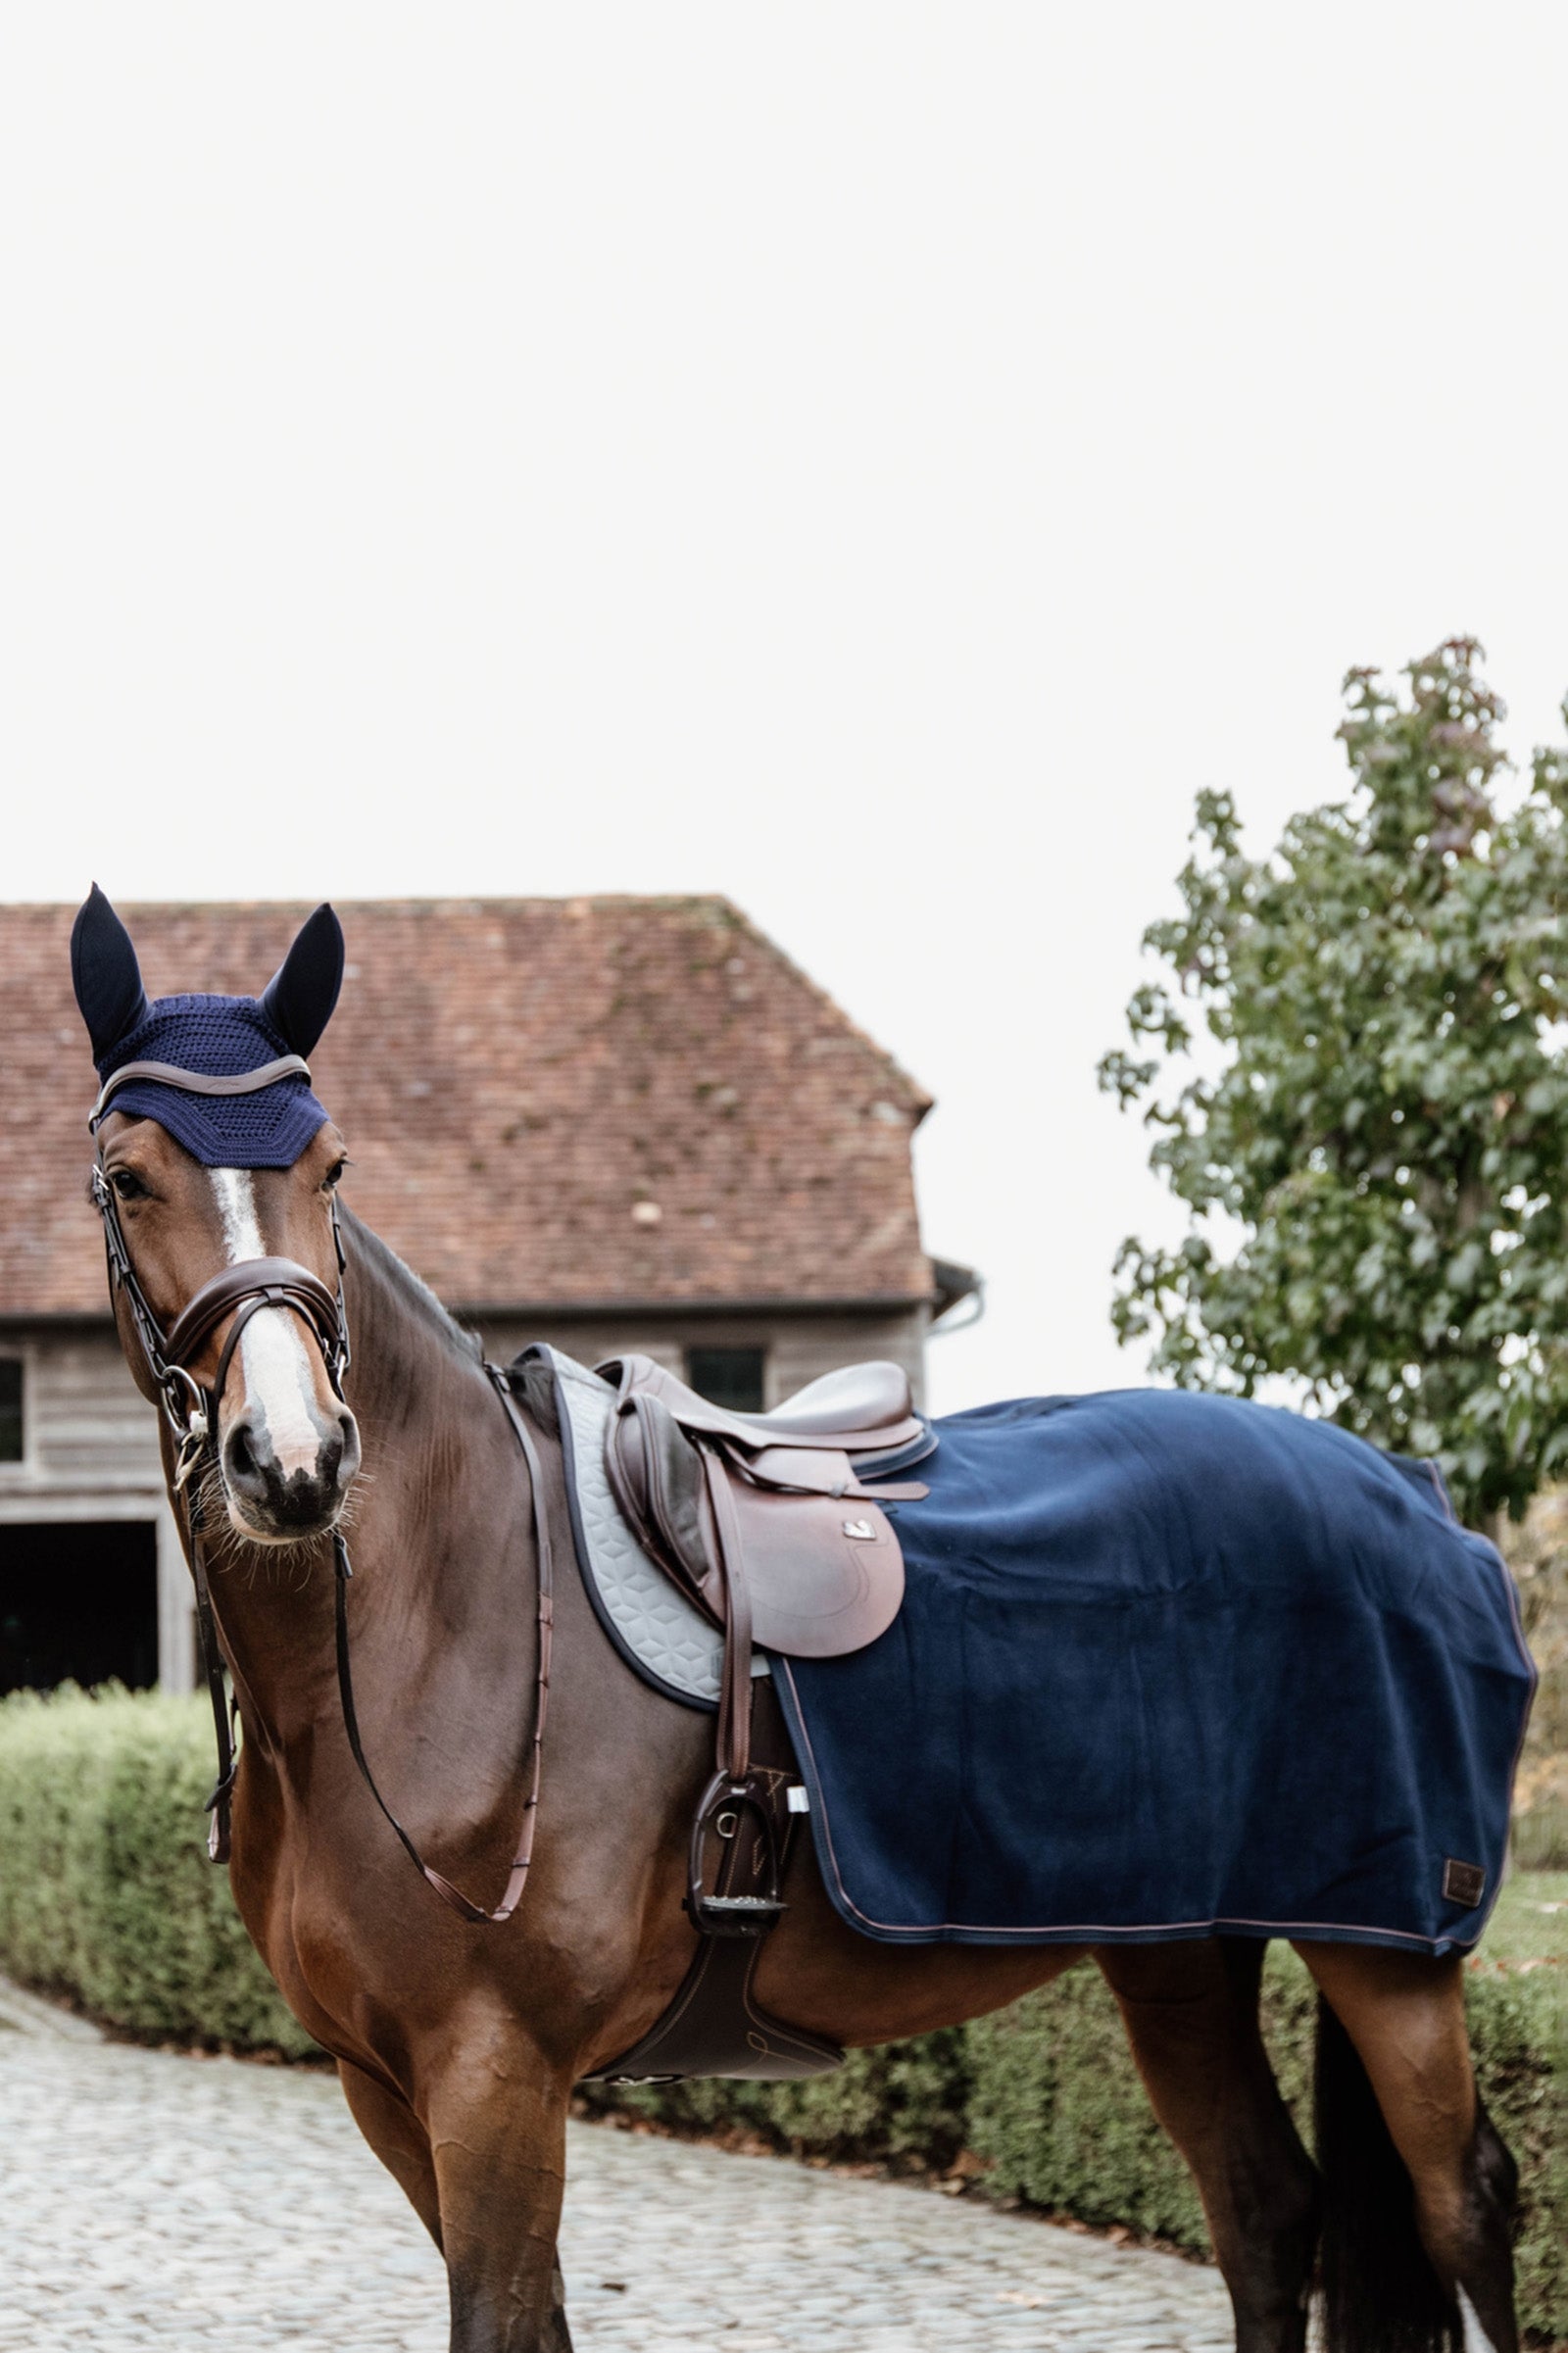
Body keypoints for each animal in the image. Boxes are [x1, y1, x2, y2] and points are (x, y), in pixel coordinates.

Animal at [69, 888, 1524, 2353]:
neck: (434, 1628)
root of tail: (1421, 1493)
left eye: (331, 1166)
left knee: (1464, 2204)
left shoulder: (494, 2075)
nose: (293, 1461)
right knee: (1265, 2208)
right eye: (128, 1177)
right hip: (1183, 1953)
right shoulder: (388, 2086)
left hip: (1387, 1954)